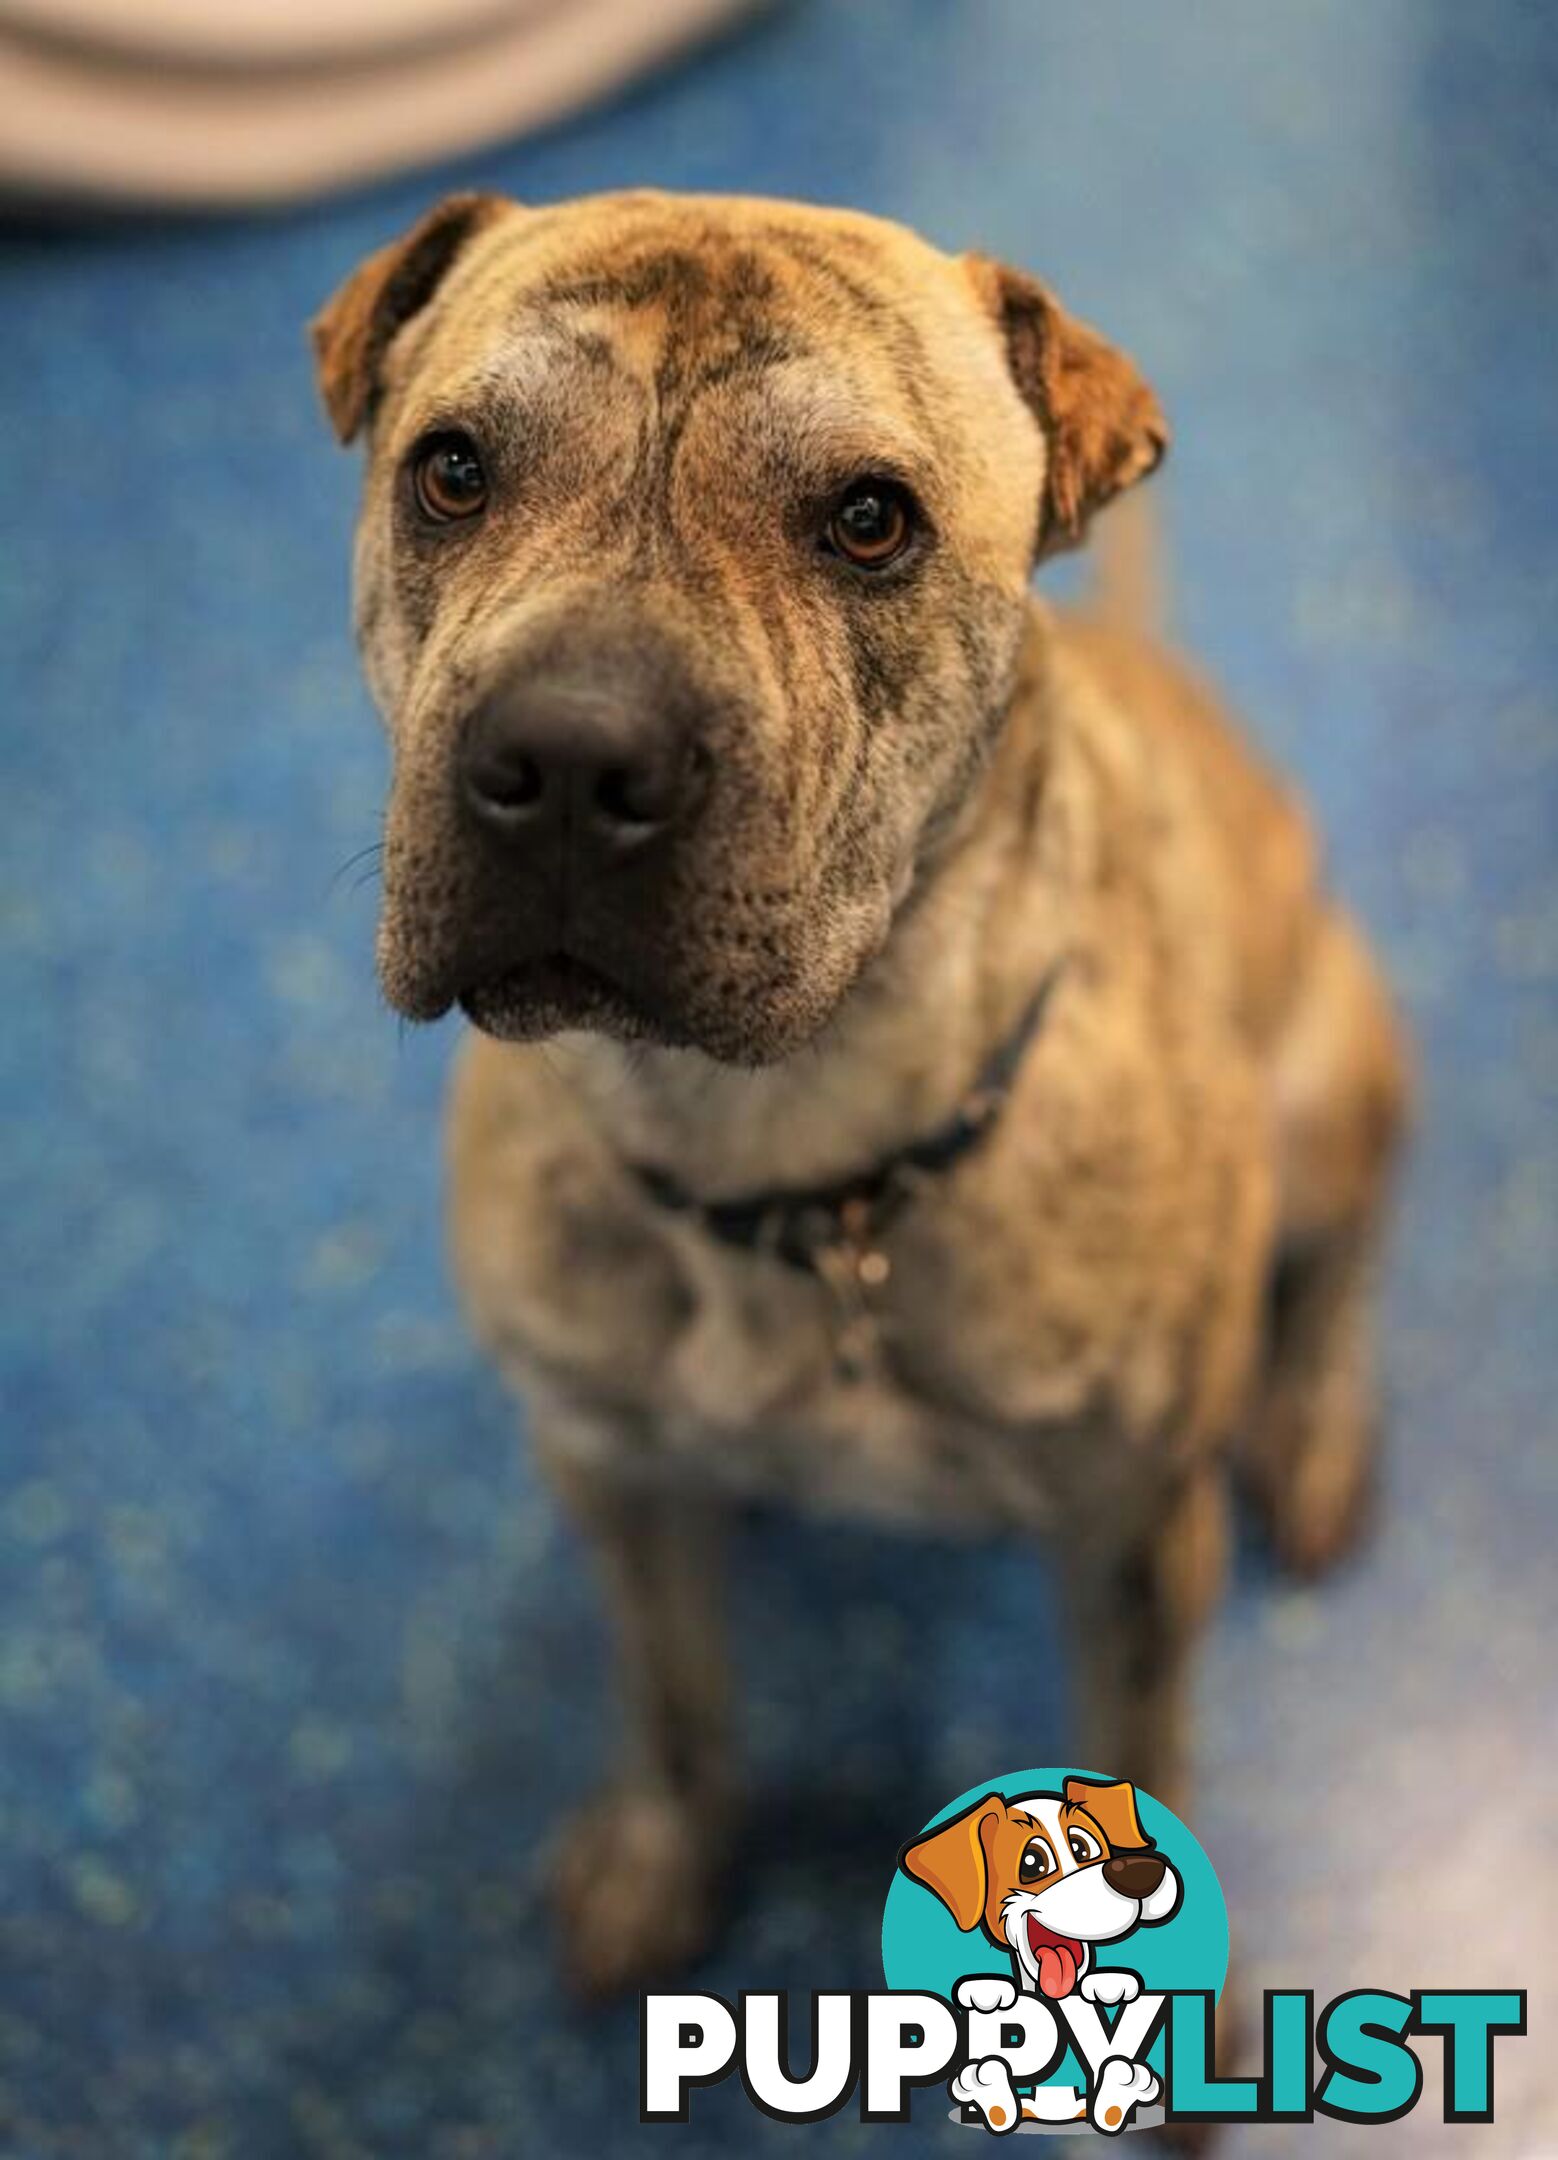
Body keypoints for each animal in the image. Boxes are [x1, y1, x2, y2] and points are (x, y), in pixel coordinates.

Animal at [313, 185, 1408, 1987]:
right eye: (452, 470)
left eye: (870, 520)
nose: (563, 760)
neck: (790, 1165)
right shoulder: (604, 1469)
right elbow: (670, 1694)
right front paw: (665, 1850)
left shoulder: (1129, 1536)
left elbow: (1145, 1746)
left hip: (1328, 1082)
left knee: (1333, 1273)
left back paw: (1311, 1422)